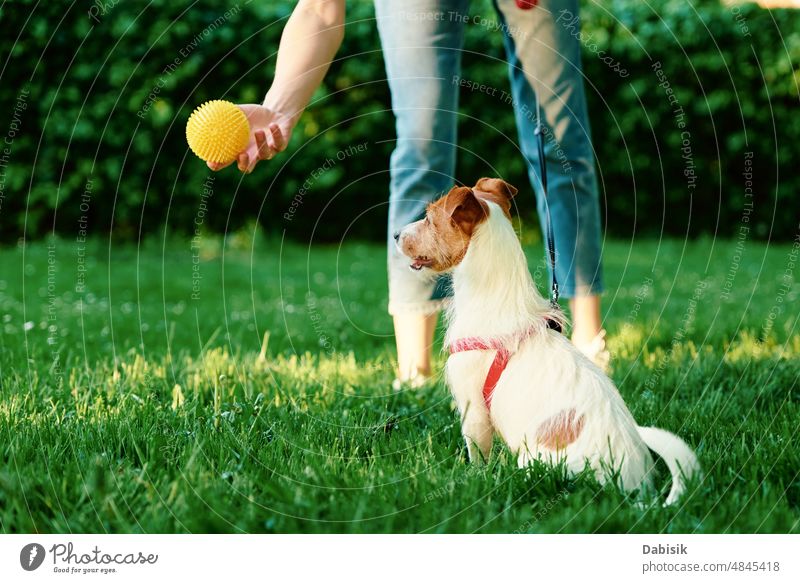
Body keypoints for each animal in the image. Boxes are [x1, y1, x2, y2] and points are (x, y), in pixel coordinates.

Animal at [396, 179, 700, 506]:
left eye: (429, 218)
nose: (396, 234)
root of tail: (630, 492)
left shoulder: (473, 409)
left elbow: (477, 455)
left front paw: (474, 479)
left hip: (532, 462)